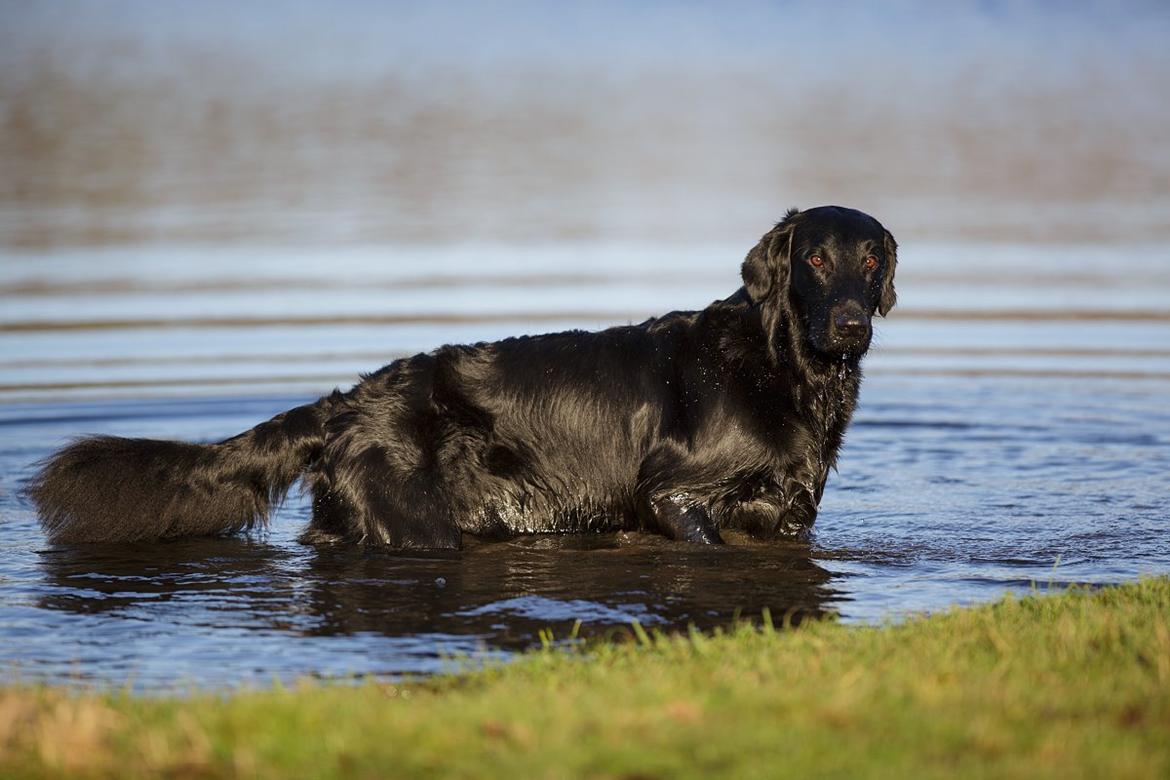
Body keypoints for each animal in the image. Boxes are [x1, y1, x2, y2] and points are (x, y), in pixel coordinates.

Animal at [32, 206, 898, 549]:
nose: (851, 326)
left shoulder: (792, 513)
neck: (782, 365)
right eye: (815, 259)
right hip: (415, 521)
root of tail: (345, 403)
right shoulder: (671, 492)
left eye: (871, 260)